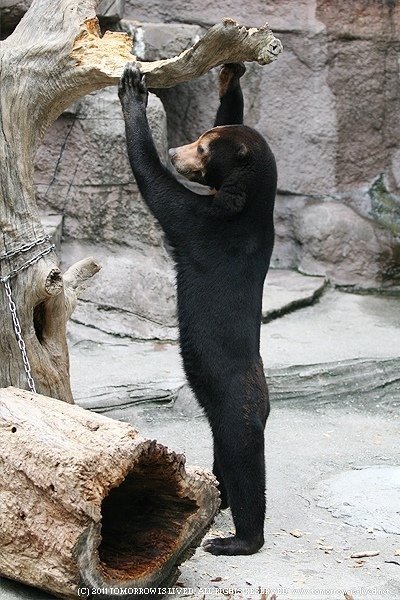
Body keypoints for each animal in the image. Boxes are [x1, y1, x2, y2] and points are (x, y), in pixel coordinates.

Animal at [117, 63, 276, 556]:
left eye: (202, 147)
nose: (175, 149)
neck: (247, 202)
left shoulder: (206, 225)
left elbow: (158, 190)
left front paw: (134, 91)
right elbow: (232, 111)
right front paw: (230, 74)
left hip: (232, 402)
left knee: (244, 460)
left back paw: (237, 538)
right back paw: (217, 495)